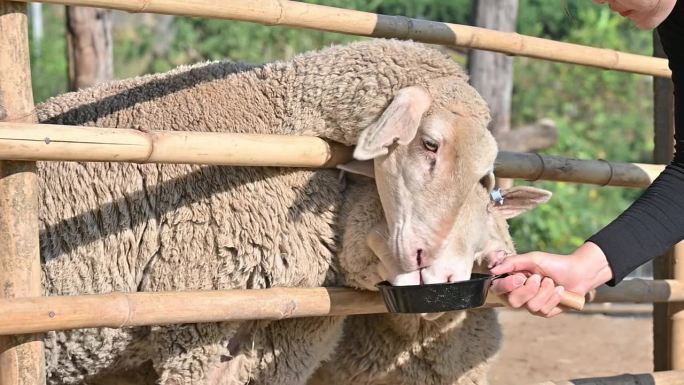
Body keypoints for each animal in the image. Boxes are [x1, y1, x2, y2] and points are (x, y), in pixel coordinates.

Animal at [34, 36, 552, 384]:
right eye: (430, 144)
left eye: (487, 177)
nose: (450, 277)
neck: (281, 113)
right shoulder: (193, 323)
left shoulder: (290, 334)